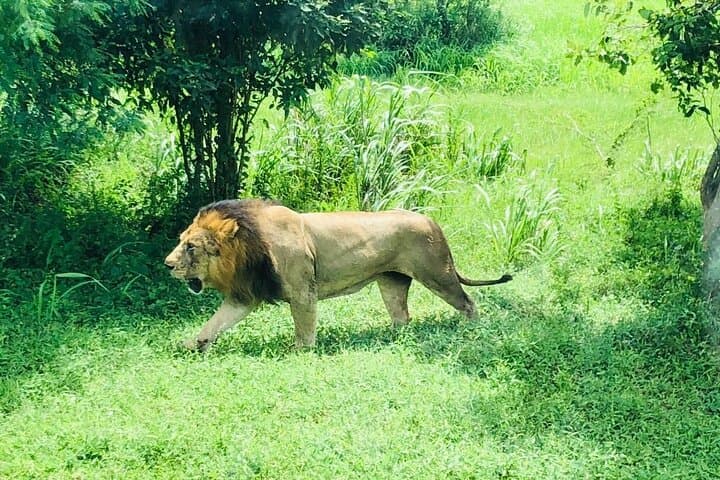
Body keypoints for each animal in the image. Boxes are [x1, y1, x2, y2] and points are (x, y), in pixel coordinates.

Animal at [164, 199, 512, 351]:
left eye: (191, 246)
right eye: (182, 240)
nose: (167, 264)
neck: (247, 250)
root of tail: (431, 220)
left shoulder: (303, 292)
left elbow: (305, 329)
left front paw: (300, 354)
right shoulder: (243, 296)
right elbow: (214, 323)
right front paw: (192, 346)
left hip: (437, 273)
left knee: (467, 301)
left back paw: (472, 329)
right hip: (392, 282)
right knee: (402, 317)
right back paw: (392, 340)